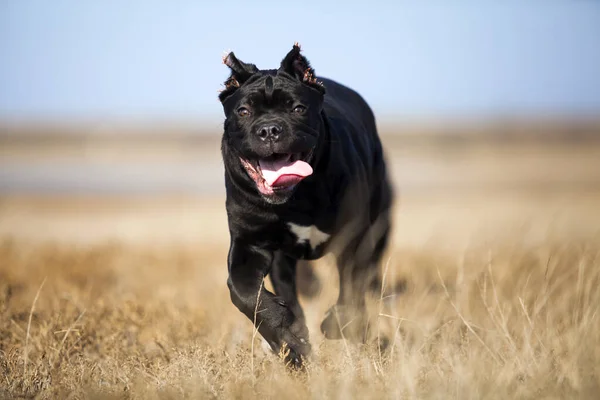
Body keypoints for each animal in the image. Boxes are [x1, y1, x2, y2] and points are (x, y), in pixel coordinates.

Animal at [219, 43, 394, 366]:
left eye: (298, 108)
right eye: (243, 111)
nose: (269, 130)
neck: (296, 199)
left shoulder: (354, 236)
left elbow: (351, 289)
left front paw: (336, 324)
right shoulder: (249, 243)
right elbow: (244, 292)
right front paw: (291, 343)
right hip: (282, 259)